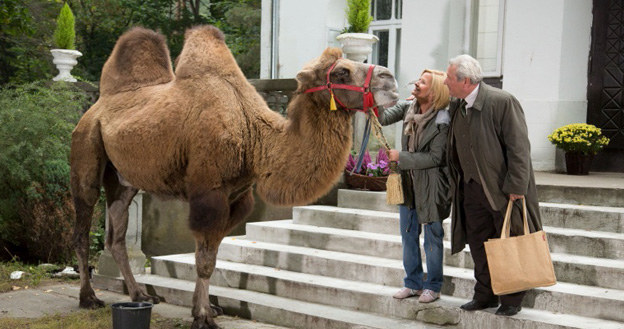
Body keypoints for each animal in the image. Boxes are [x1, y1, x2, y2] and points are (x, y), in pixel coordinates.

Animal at [70, 25, 398, 328]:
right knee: (83, 225)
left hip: (123, 180)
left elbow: (210, 255)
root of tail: (96, 106)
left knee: (116, 236)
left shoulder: (237, 198)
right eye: (342, 71)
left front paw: (205, 307)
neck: (253, 136)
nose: (391, 80)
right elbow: (204, 260)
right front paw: (203, 316)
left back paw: (140, 294)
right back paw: (89, 298)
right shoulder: (209, 193)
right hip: (86, 146)